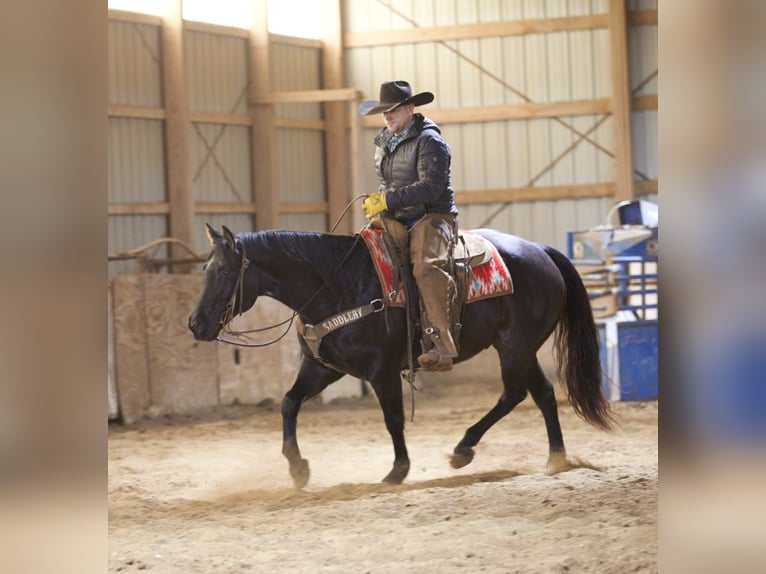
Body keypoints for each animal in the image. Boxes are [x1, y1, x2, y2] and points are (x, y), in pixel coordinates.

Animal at [189, 227, 616, 488]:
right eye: (205, 268)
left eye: (225, 271)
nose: (195, 323)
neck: (337, 284)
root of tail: (541, 251)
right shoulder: (324, 367)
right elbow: (289, 403)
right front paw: (298, 468)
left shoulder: (381, 371)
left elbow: (392, 418)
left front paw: (398, 470)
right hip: (521, 349)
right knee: (542, 394)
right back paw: (555, 457)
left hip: (515, 347)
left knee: (514, 394)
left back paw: (463, 449)